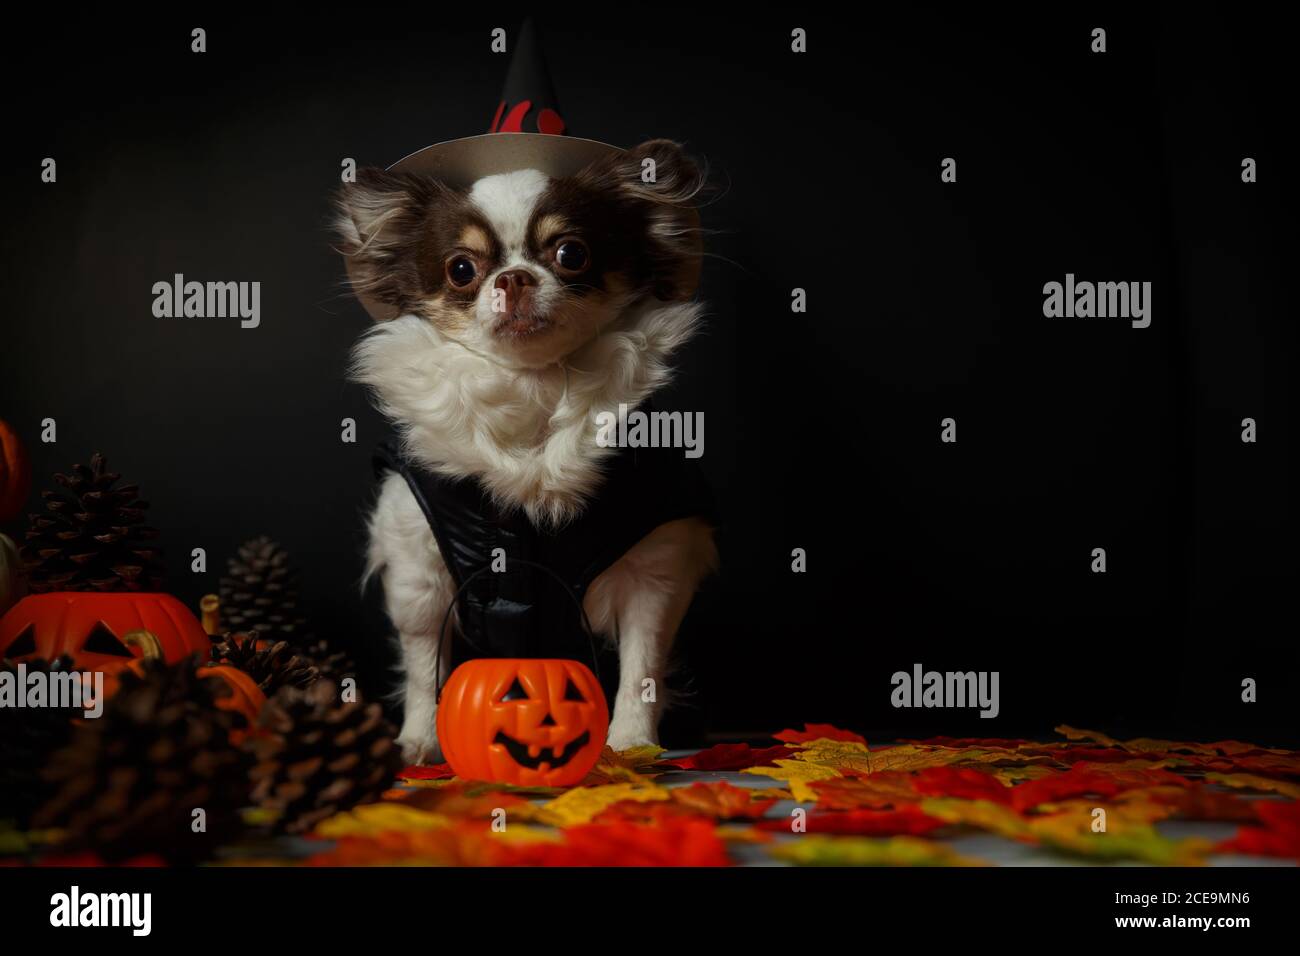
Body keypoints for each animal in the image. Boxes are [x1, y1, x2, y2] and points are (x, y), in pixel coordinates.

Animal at [335, 140, 717, 764]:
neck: (532, 388)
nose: (513, 277)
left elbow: (642, 665)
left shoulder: (654, 575)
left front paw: (631, 743)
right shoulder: (420, 574)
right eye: (460, 269)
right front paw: (420, 740)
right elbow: (423, 667)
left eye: (571, 253)